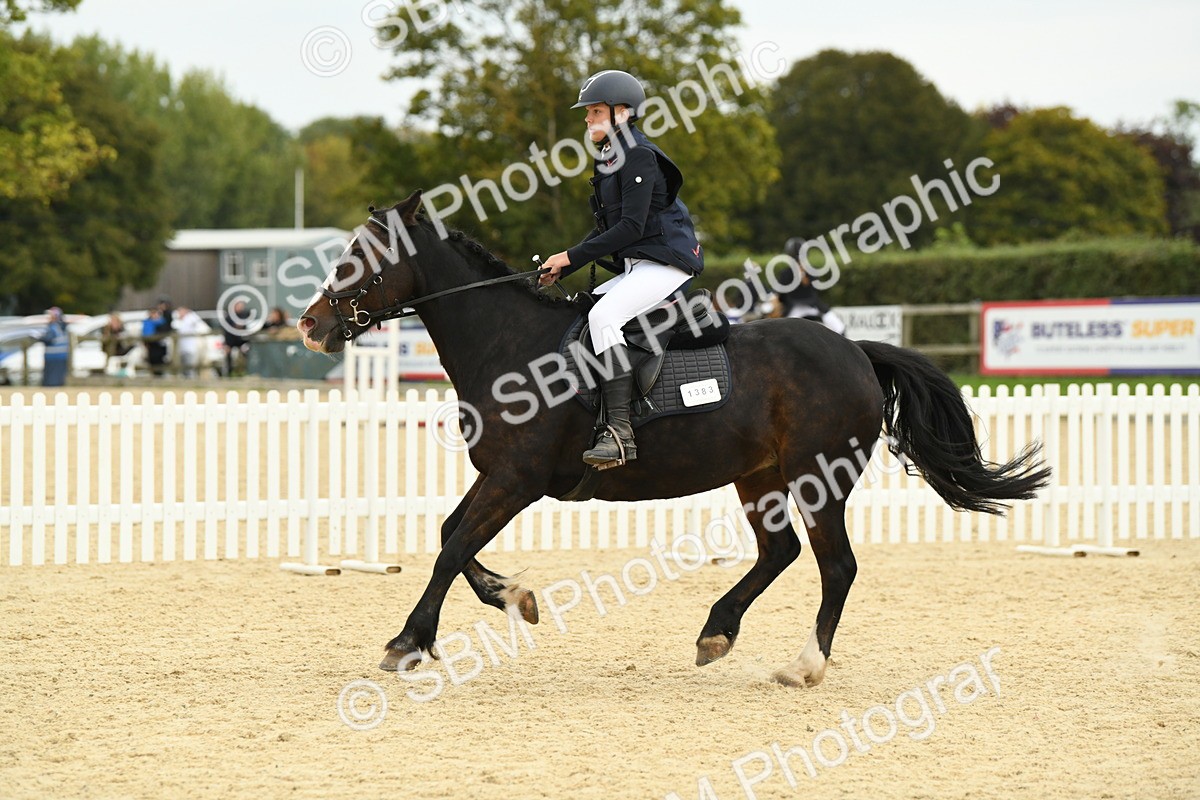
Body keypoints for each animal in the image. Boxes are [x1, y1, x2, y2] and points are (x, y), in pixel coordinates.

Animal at [297, 190, 1050, 687]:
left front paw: (408, 641)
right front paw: (515, 597)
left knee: (836, 566)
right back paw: (717, 632)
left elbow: (452, 547)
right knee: (778, 552)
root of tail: (858, 353)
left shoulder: (517, 479)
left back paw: (804, 665)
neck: (512, 345)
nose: (309, 325)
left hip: (819, 478)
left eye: (361, 257)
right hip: (760, 476)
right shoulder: (501, 476)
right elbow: (453, 536)